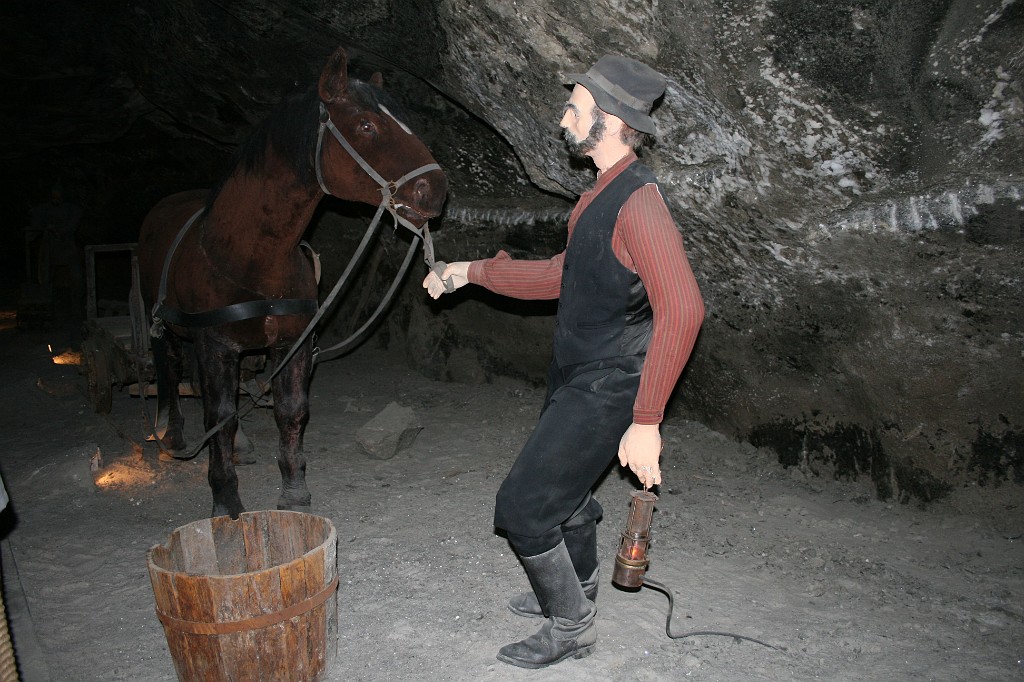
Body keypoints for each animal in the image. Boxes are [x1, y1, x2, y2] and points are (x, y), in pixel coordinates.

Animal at [137, 47, 447, 518]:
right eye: (366, 125)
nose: (438, 188)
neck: (252, 258)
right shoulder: (215, 344)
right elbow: (218, 415)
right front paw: (225, 497)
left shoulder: (292, 342)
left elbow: (291, 411)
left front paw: (294, 489)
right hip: (168, 329)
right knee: (170, 371)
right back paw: (172, 434)